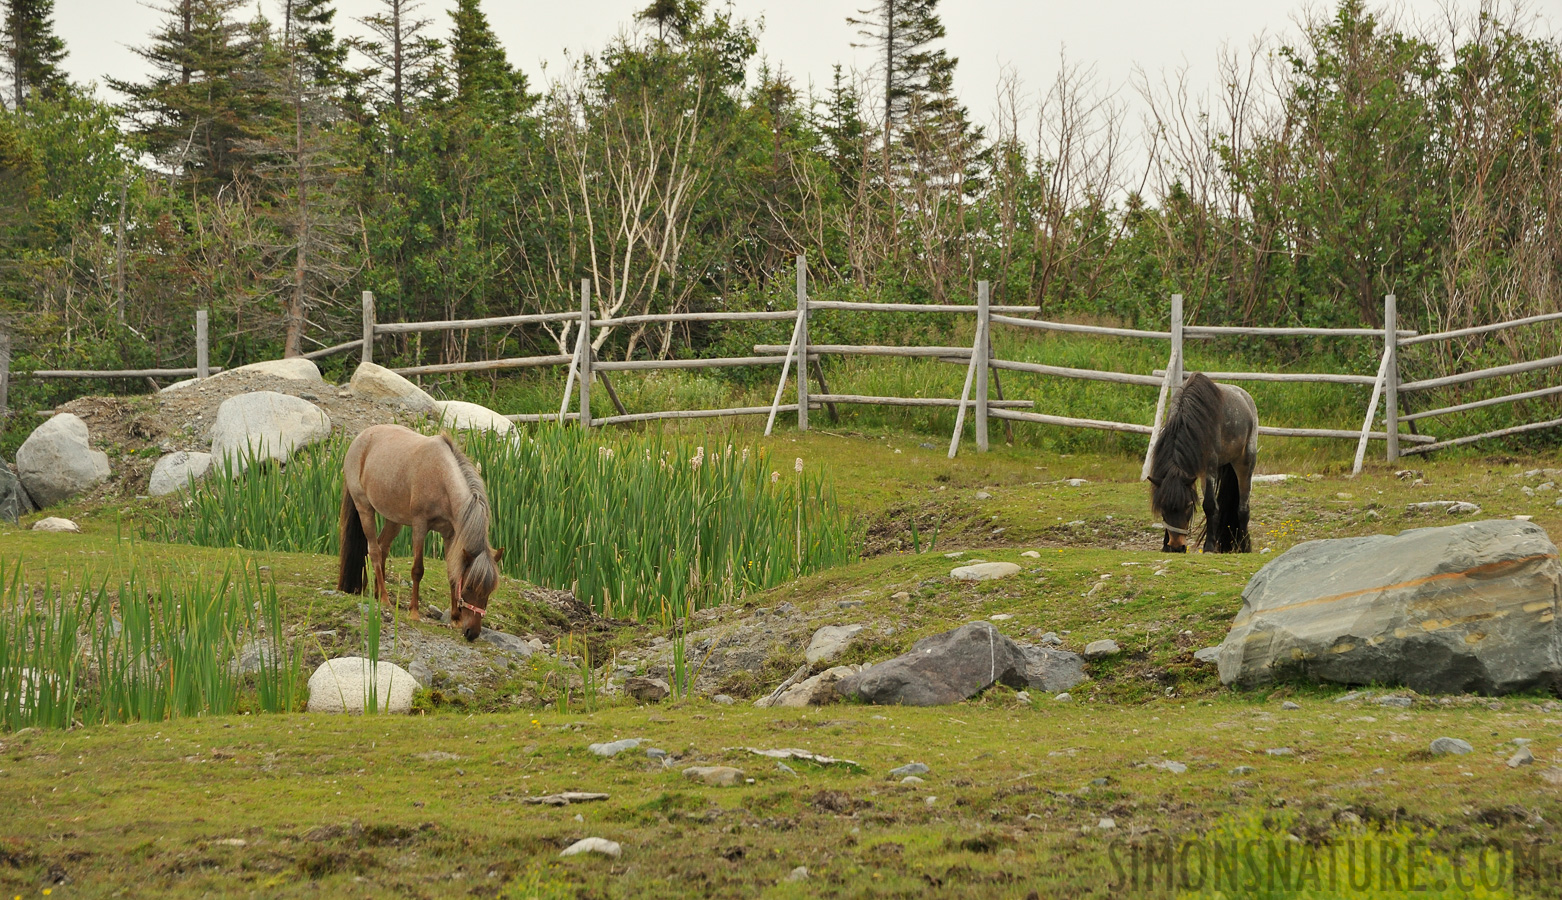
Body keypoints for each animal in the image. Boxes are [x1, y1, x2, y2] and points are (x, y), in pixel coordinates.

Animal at [337, 425, 502, 640]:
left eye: (489, 591)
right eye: (469, 587)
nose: (472, 633)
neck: (441, 476)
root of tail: (361, 437)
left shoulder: (449, 534)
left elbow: (452, 572)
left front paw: (455, 619)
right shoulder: (419, 526)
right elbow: (417, 570)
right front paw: (414, 612)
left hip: (394, 518)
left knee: (382, 547)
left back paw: (376, 594)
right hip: (364, 508)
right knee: (374, 551)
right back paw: (385, 598)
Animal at [1149, 371, 1255, 556]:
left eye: (1188, 506)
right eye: (1163, 508)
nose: (1176, 546)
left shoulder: (1208, 469)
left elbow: (1210, 506)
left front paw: (1209, 546)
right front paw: (1165, 545)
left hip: (1245, 463)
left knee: (1243, 508)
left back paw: (1244, 546)